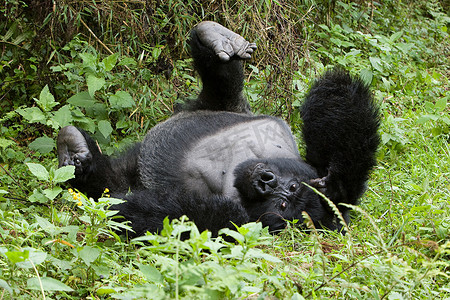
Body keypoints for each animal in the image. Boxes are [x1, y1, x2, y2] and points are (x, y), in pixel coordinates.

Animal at [56, 21, 380, 238]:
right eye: (291, 187)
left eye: (283, 203)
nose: (266, 181)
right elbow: (343, 123)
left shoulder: (233, 219)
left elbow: (143, 213)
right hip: (224, 108)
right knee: (223, 90)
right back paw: (219, 39)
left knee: (114, 181)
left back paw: (79, 159)